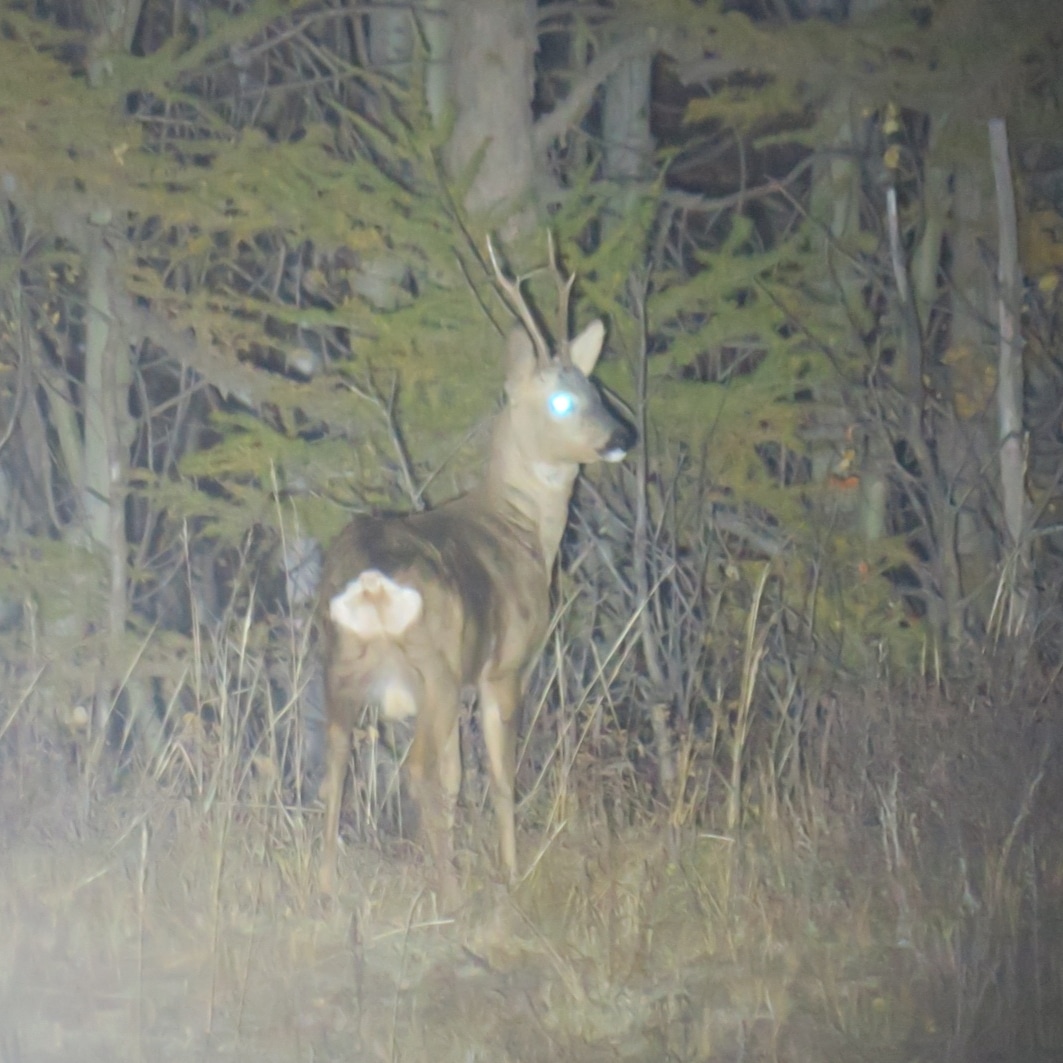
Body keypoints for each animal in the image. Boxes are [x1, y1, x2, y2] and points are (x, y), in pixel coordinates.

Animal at [318, 237, 636, 901]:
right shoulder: (502, 667)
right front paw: (509, 872)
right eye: (562, 399)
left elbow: (458, 777)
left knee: (334, 767)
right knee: (413, 772)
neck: (521, 528)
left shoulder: (465, 681)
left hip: (338, 667)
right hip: (429, 673)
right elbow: (499, 778)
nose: (623, 435)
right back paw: (449, 895)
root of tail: (371, 583)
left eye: (595, 389)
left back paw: (327, 890)